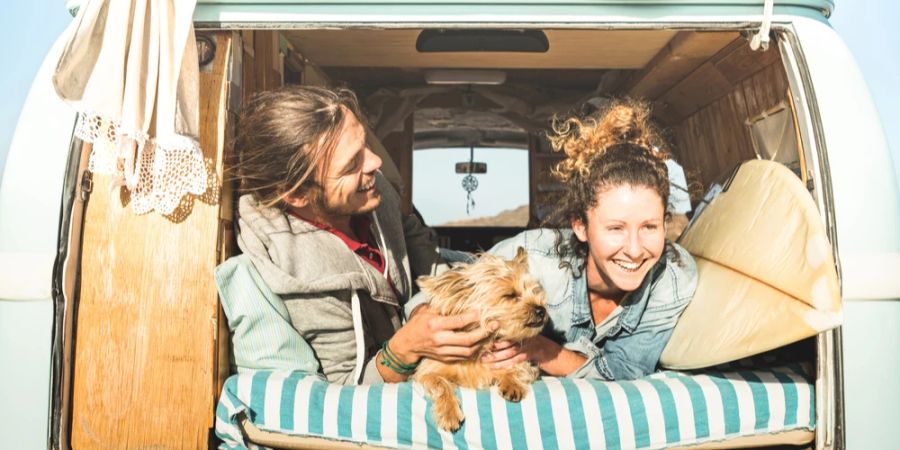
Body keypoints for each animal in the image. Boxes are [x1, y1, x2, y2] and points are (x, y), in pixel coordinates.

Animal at [410, 248, 548, 434]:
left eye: (535, 291)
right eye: (510, 295)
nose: (542, 310)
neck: (483, 347)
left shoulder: (521, 361)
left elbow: (517, 368)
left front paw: (512, 382)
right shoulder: (427, 370)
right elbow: (439, 383)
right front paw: (449, 412)